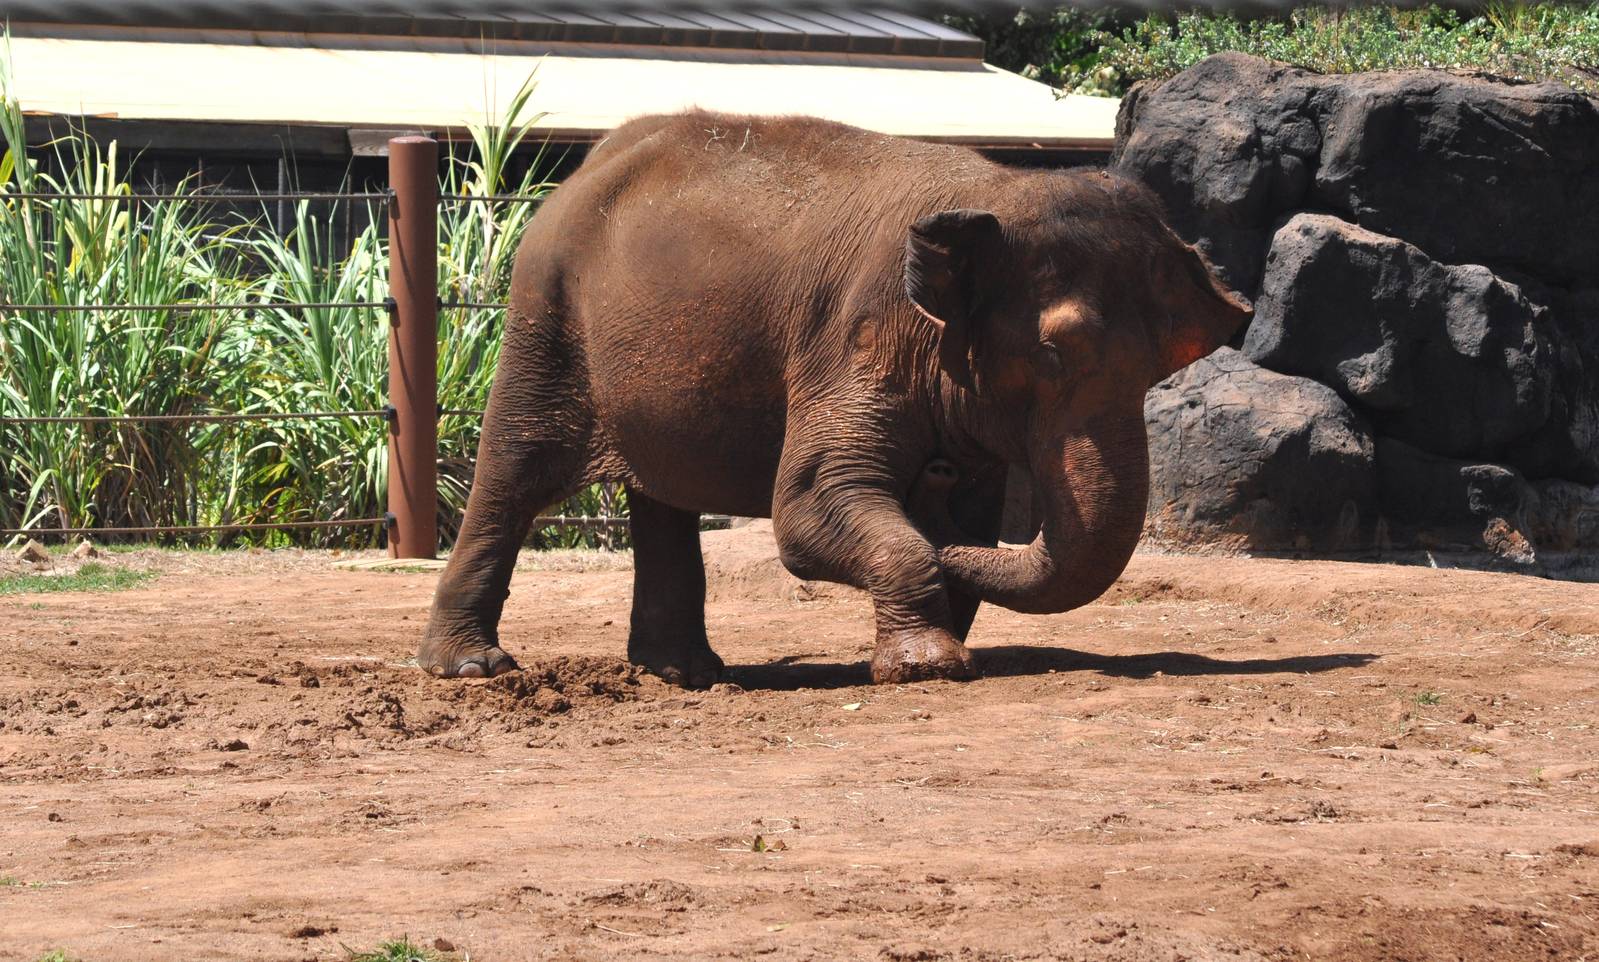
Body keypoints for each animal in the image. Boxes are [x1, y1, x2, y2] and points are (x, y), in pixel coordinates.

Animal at [419, 111, 1252, 687]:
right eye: (1052, 353)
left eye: (1156, 371)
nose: (933, 474)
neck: (992, 194)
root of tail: (586, 166)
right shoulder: (857, 334)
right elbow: (808, 507)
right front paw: (927, 666)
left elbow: (973, 515)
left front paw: (939, 616)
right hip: (546, 315)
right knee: (515, 472)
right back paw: (472, 669)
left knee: (663, 497)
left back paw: (685, 674)